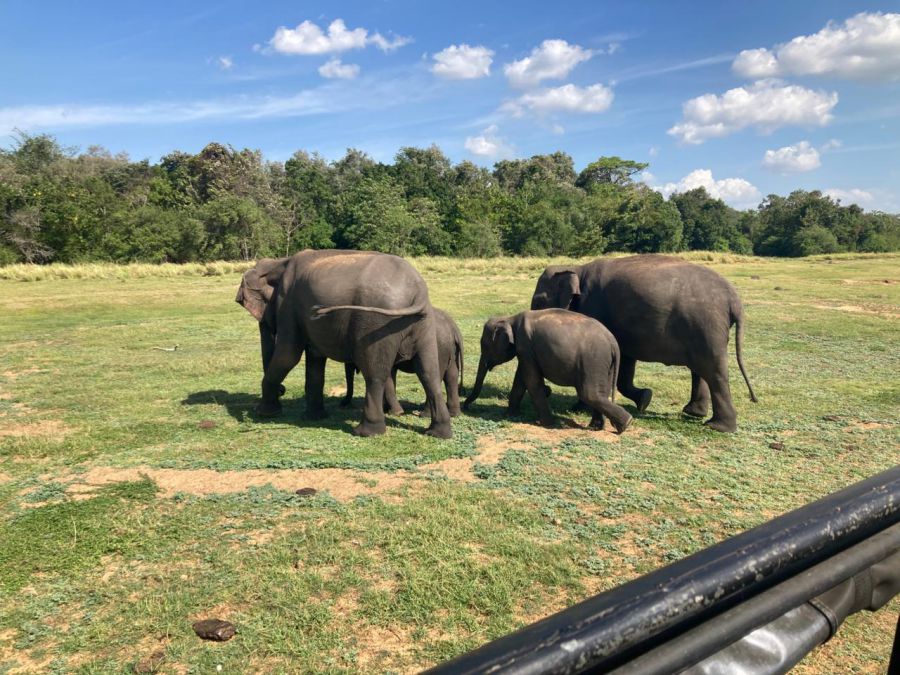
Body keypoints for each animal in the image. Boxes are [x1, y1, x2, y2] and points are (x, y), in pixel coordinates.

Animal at [235, 249, 452, 438]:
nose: (282, 391)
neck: (279, 262)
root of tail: (418, 292)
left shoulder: (288, 303)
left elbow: (288, 355)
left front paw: (265, 413)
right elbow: (315, 361)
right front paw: (314, 417)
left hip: (377, 323)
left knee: (375, 375)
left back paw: (365, 432)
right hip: (423, 324)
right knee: (429, 372)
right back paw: (437, 433)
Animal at [463, 309, 632, 433]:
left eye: (484, 346)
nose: (466, 406)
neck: (510, 318)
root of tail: (613, 342)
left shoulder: (526, 346)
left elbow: (531, 381)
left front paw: (547, 423)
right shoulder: (526, 352)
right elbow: (520, 380)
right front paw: (511, 414)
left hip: (593, 361)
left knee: (589, 394)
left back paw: (625, 424)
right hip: (605, 365)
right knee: (601, 393)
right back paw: (598, 427)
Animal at [530, 254, 756, 433]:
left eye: (540, 301)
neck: (577, 268)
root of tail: (734, 300)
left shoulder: (594, 308)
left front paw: (579, 408)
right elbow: (626, 362)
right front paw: (645, 399)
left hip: (706, 326)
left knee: (714, 371)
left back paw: (717, 426)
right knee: (700, 369)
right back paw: (694, 413)